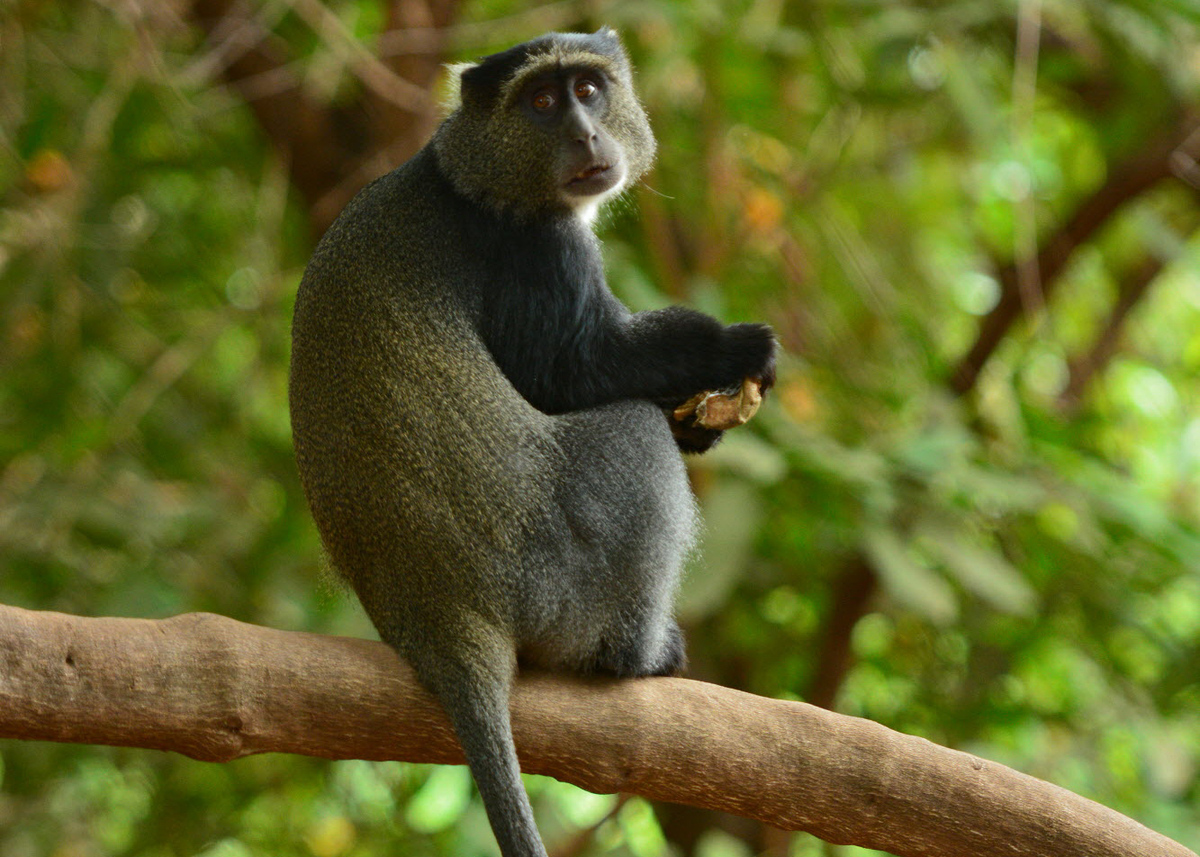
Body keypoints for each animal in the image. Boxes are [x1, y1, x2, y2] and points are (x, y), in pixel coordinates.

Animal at [290, 28, 777, 854]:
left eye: (588, 90)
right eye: (542, 102)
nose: (585, 135)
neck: (469, 170)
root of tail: (435, 618)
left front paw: (701, 421)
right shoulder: (533, 252)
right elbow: (574, 372)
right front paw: (732, 348)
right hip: (548, 581)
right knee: (629, 430)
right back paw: (632, 655)